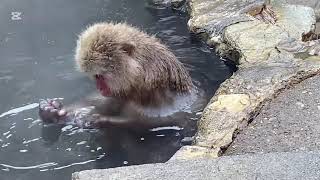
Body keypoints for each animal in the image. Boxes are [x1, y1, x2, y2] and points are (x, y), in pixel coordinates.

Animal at [38, 22, 201, 129]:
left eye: (100, 76)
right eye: (95, 76)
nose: (100, 88)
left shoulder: (160, 96)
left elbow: (154, 121)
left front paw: (101, 120)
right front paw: (52, 111)